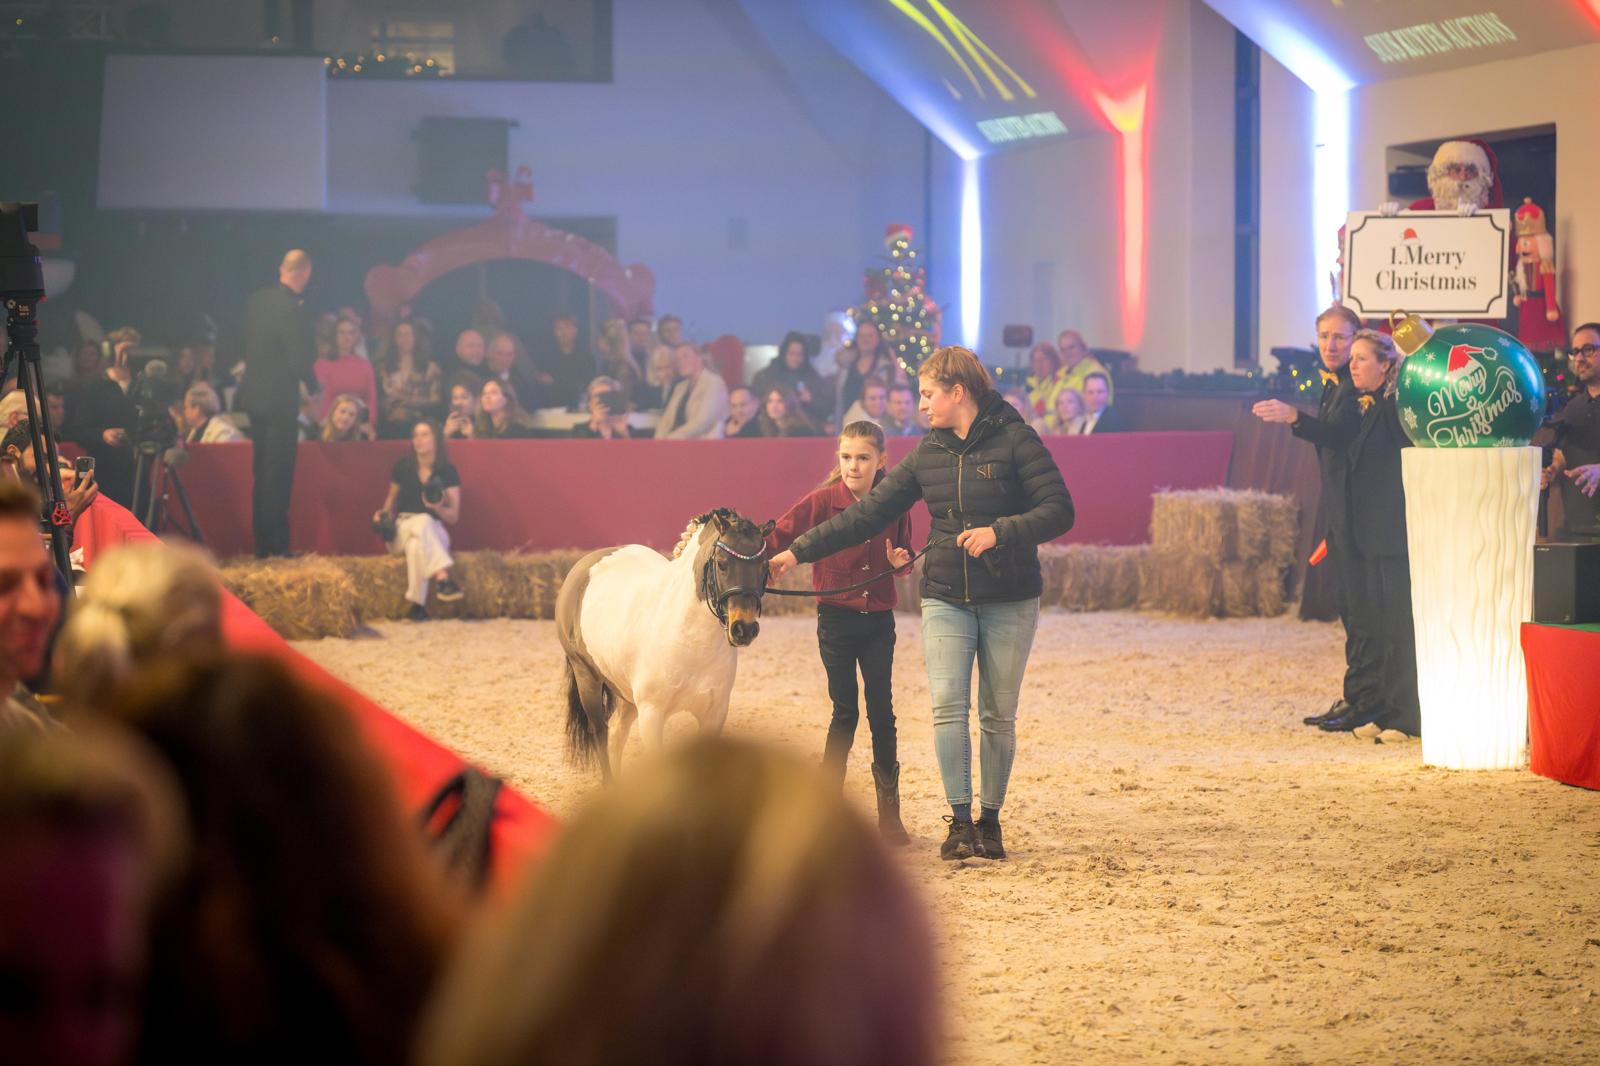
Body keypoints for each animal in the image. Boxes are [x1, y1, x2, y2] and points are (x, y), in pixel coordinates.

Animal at [557, 508, 774, 780]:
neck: (690, 641)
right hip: (587, 678)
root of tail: (582, 566)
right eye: (722, 564)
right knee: (600, 733)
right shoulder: (652, 716)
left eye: (765, 566)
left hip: (626, 693)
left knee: (616, 733)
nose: (743, 629)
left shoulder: (714, 715)